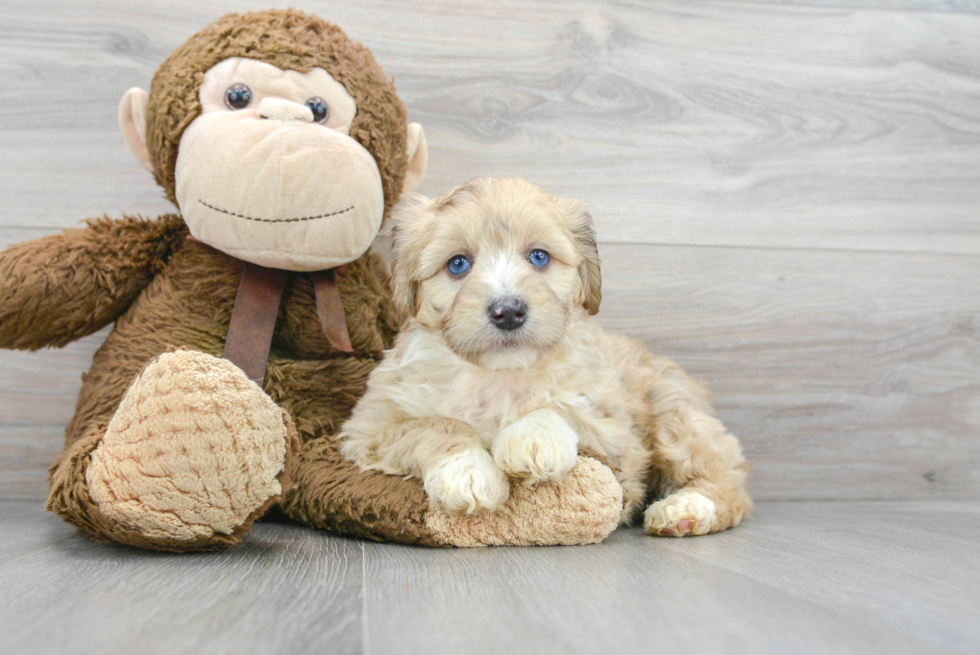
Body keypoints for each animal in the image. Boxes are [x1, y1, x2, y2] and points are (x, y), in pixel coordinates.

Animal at [340, 177, 756, 536]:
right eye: (458, 264)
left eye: (539, 257)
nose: (508, 311)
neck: (500, 375)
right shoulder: (369, 427)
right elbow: (436, 425)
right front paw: (466, 470)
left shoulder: (618, 435)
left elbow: (562, 405)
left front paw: (533, 437)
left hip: (673, 413)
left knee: (729, 483)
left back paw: (685, 509)